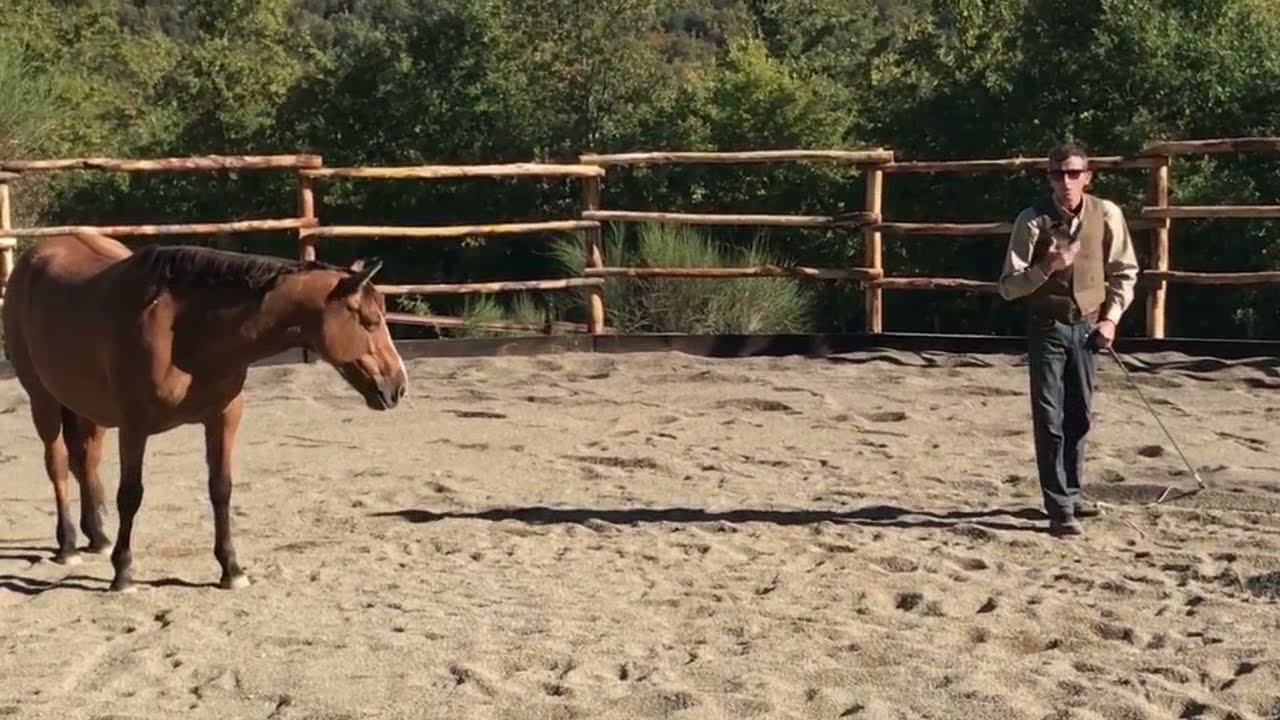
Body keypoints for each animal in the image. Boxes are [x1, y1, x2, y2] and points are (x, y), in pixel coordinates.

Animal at [1, 232, 408, 592]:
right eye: (371, 321)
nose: (398, 387)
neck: (185, 328)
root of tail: (35, 256)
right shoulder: (134, 427)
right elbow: (130, 495)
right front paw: (124, 572)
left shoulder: (223, 417)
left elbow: (221, 489)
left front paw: (231, 569)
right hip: (43, 398)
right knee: (57, 464)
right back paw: (69, 543)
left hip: (87, 407)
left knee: (85, 461)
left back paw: (98, 537)